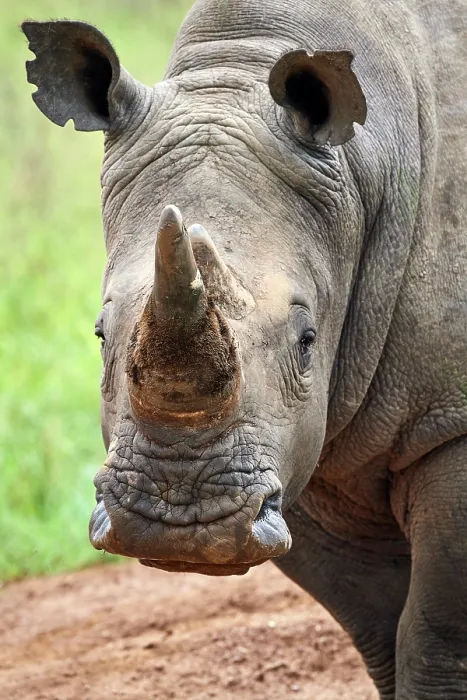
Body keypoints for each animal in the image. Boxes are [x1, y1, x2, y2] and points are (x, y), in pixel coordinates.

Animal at [22, 0, 467, 697]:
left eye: (308, 342)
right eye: (99, 335)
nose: (182, 524)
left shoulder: (448, 422)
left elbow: (436, 638)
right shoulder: (296, 447)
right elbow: (379, 627)